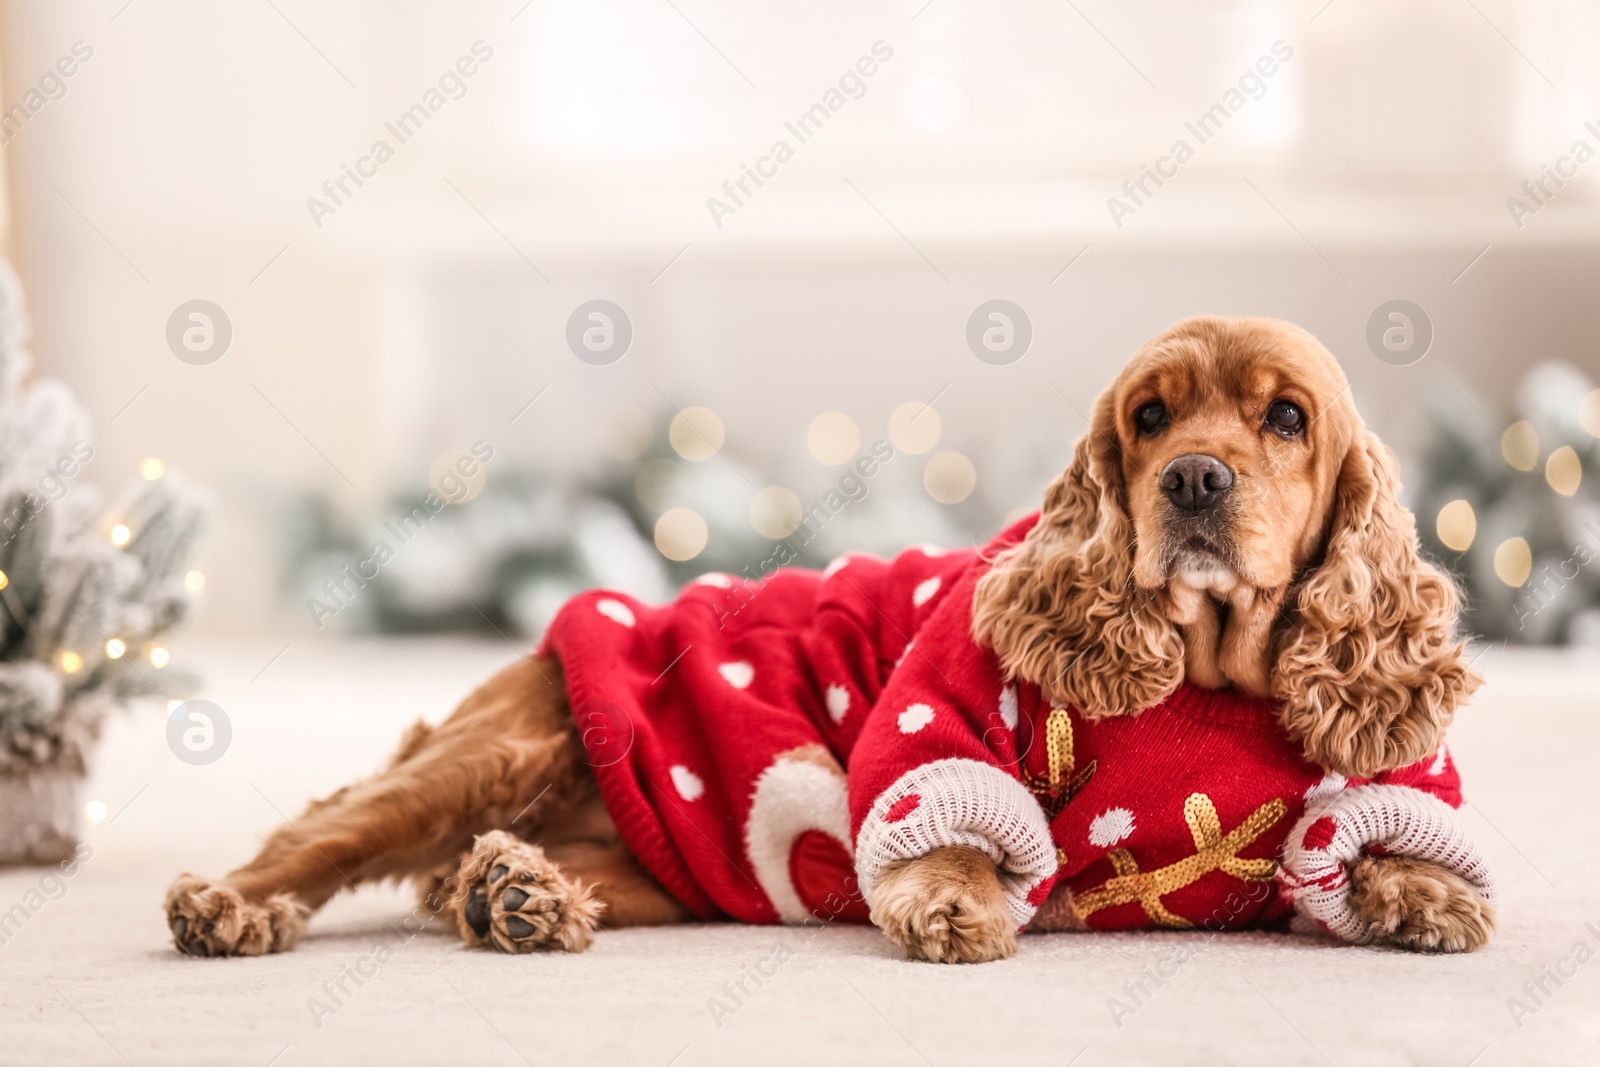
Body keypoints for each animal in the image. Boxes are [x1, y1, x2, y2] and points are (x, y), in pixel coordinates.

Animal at [162, 315, 1484, 959]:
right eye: (1149, 417)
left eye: (1285, 418)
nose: (1193, 478)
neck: (1206, 672)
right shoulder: (936, 711)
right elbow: (936, 805)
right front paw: (954, 900)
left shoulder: (1383, 775)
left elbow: (1378, 831)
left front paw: (1420, 888)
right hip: (501, 747)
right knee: (316, 832)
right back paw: (231, 905)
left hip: (669, 867)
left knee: (479, 873)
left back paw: (513, 892)